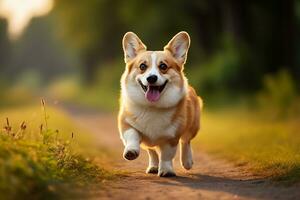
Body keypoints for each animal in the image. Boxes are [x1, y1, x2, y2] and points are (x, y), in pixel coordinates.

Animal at [118, 30, 202, 177]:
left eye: (163, 66)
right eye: (142, 66)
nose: (151, 78)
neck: (152, 107)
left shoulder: (171, 138)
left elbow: (167, 155)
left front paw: (166, 170)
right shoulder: (125, 123)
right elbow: (132, 135)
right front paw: (131, 151)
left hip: (193, 126)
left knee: (186, 140)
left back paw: (187, 161)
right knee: (151, 151)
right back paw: (153, 166)